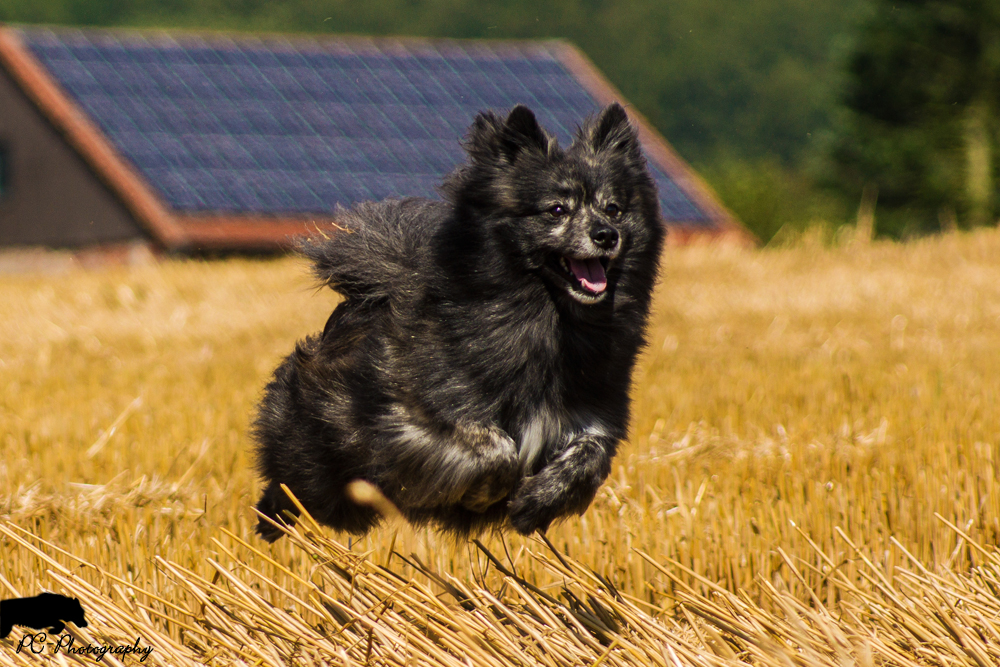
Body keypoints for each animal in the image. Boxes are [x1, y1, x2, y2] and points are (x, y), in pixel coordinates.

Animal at [254, 103, 668, 544]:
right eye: (557, 209)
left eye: (614, 209)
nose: (606, 235)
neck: (546, 322)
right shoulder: (413, 416)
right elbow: (495, 449)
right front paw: (485, 494)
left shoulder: (595, 415)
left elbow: (587, 456)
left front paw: (535, 502)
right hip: (318, 455)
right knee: (294, 481)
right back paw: (271, 518)